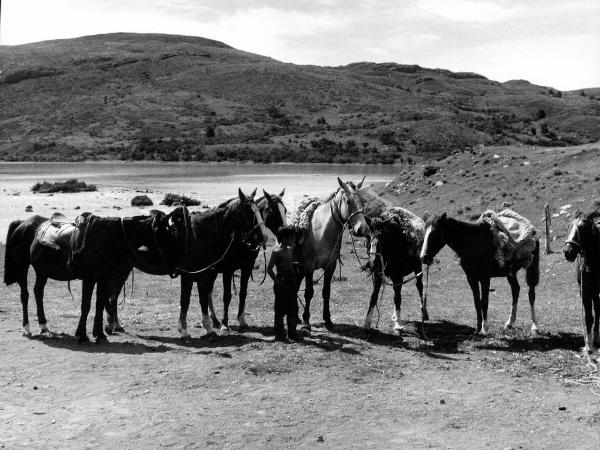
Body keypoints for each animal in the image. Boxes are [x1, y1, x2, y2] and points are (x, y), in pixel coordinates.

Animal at [173, 188, 268, 340]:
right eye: (248, 212)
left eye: (259, 210)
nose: (263, 236)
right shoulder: (226, 270)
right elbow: (225, 296)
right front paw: (225, 324)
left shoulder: (245, 267)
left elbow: (242, 293)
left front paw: (241, 321)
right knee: (208, 293)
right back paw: (215, 322)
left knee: (208, 293)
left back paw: (214, 320)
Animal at [292, 177, 368, 330]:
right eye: (348, 201)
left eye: (362, 201)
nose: (362, 229)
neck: (320, 232)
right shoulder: (309, 267)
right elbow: (309, 292)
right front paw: (306, 320)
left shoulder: (330, 266)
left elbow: (326, 292)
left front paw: (327, 320)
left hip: (299, 267)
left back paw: (296, 317)